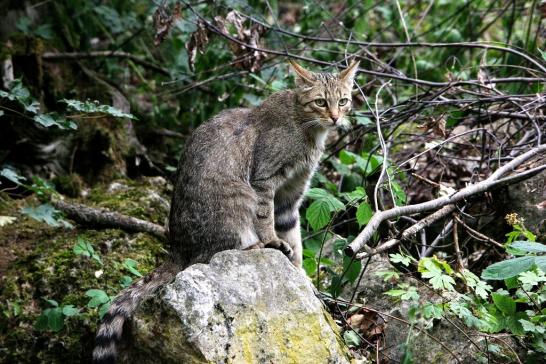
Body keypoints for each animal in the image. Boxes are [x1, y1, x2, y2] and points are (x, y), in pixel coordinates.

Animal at [92, 60, 356, 364]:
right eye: (320, 102)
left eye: (343, 101)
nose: (335, 118)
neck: (307, 129)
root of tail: (176, 250)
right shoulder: (264, 181)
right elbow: (267, 220)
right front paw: (273, 243)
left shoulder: (291, 196)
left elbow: (294, 238)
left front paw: (301, 275)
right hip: (238, 200)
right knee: (219, 251)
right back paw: (255, 246)